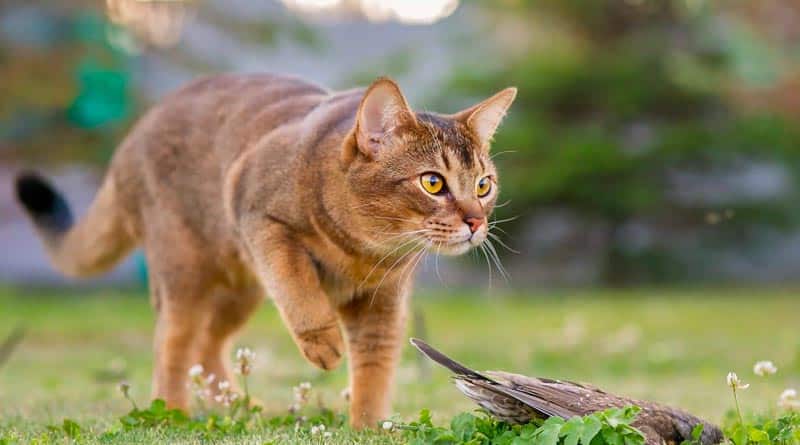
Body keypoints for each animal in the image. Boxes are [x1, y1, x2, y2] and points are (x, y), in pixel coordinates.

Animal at [15, 73, 516, 426]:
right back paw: (173, 412)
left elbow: (375, 370)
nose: (476, 222)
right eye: (432, 183)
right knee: (173, 344)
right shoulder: (255, 212)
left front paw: (369, 428)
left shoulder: (384, 305)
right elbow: (297, 283)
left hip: (241, 288)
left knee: (208, 345)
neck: (362, 252)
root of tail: (132, 138)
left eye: (484, 185)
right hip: (186, 271)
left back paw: (238, 404)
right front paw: (322, 343)